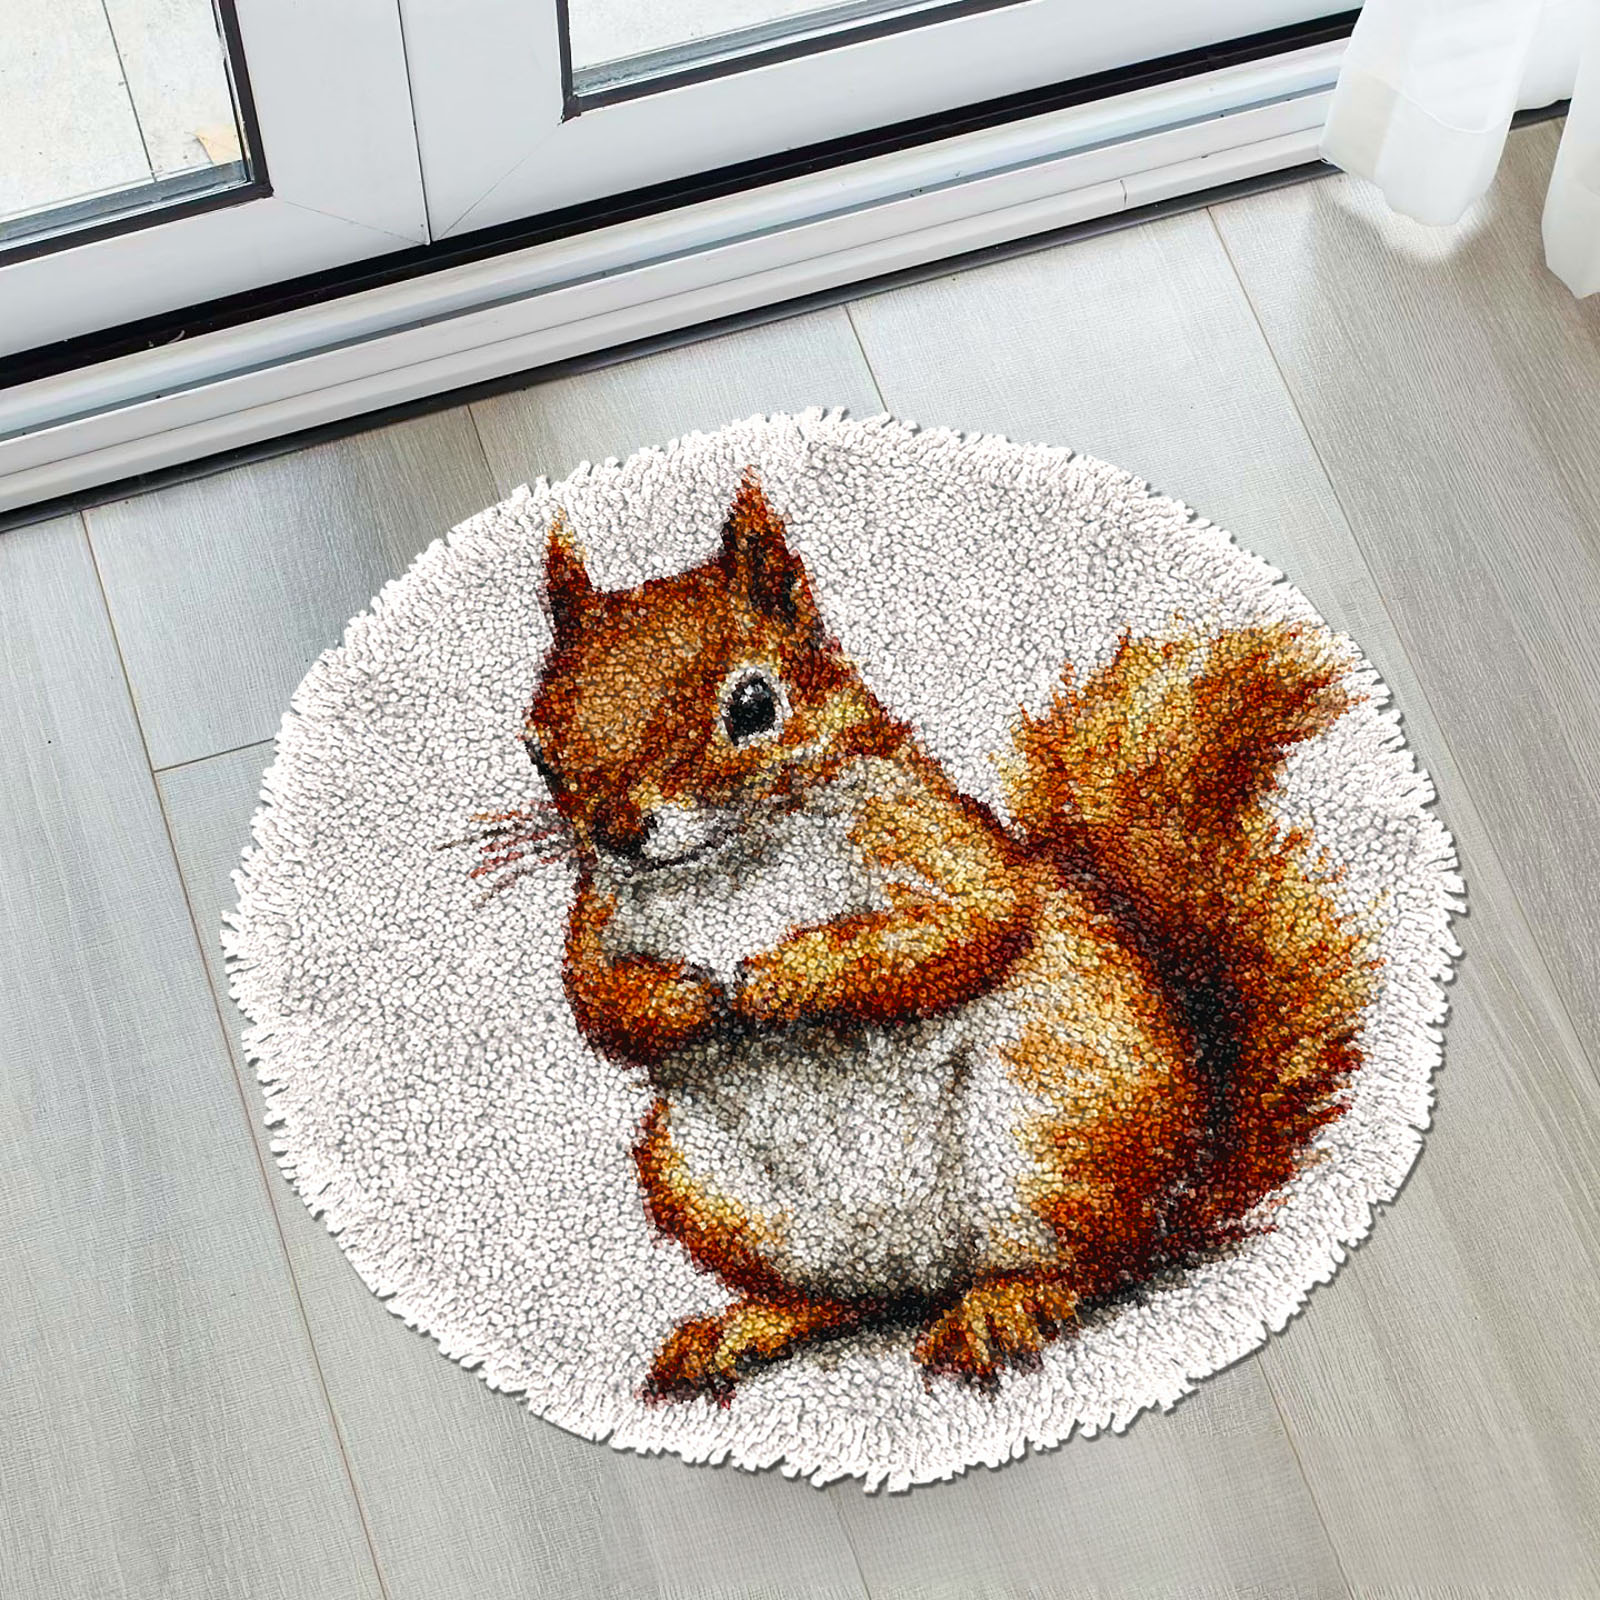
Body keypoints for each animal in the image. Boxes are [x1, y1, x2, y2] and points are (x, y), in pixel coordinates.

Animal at [514, 471, 1375, 1403]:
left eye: (753, 705)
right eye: (537, 747)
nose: (616, 830)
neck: (727, 863)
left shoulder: (925, 837)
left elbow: (968, 923)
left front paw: (786, 975)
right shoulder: (599, 917)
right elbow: (599, 1003)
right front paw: (681, 999)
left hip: (1049, 1134)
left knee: (1093, 1267)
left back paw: (1005, 1303)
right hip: (708, 1188)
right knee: (852, 1299)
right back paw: (750, 1325)